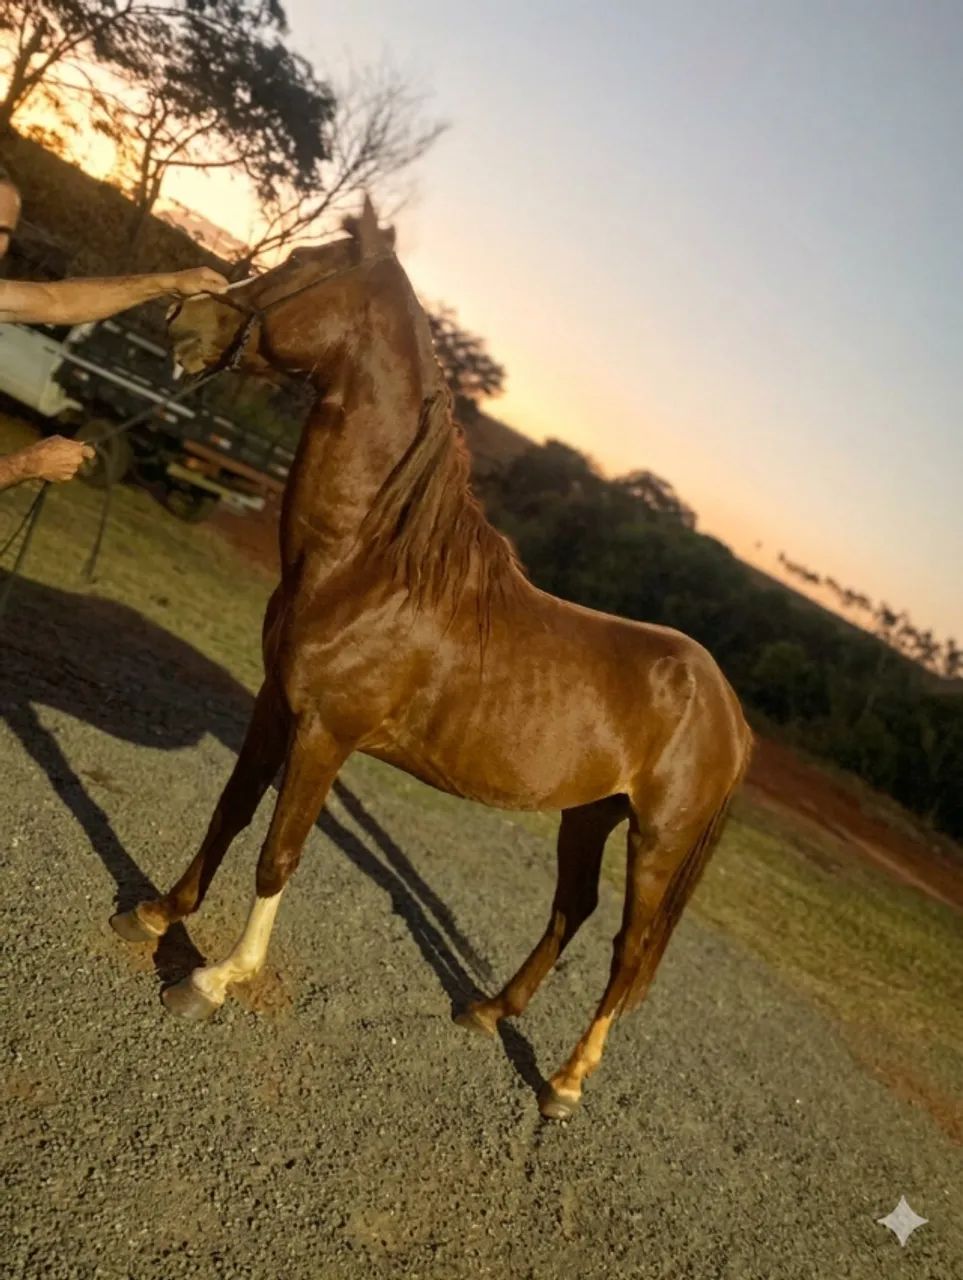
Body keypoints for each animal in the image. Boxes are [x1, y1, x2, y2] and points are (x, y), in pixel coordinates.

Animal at [110, 198, 752, 1120]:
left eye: (303, 265)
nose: (182, 320)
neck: (368, 566)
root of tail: (727, 706)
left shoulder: (325, 735)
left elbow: (278, 853)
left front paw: (215, 978)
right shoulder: (275, 703)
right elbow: (229, 814)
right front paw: (159, 913)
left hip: (657, 842)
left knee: (627, 952)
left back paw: (564, 1083)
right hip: (589, 814)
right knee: (571, 911)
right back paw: (486, 1011)